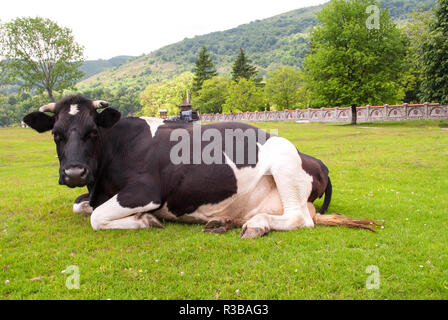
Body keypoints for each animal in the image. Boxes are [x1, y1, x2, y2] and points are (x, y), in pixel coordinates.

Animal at [21, 95, 378, 238]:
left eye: (93, 132)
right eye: (56, 134)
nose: (74, 172)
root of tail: (315, 159)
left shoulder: (144, 191)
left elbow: (96, 217)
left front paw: (146, 220)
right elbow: (79, 205)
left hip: (285, 164)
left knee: (300, 219)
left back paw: (256, 225)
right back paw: (225, 221)